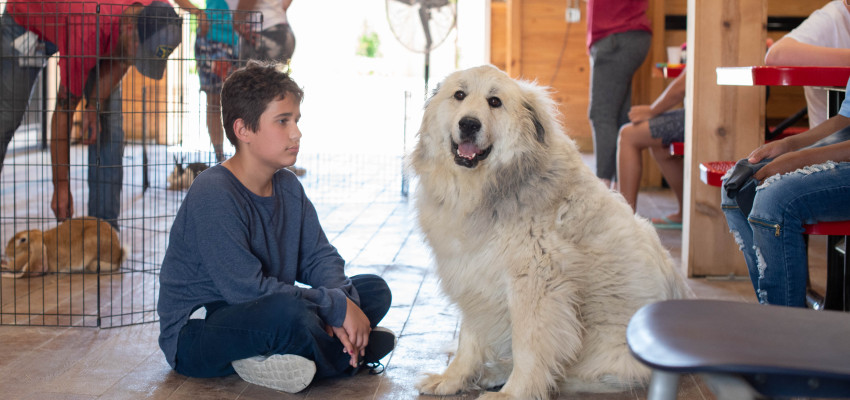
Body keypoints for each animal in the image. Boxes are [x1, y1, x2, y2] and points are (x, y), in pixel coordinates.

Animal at [410, 66, 684, 400]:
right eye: (459, 95)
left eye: (494, 102)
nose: (469, 124)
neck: (487, 188)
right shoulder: (474, 273)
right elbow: (470, 337)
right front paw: (453, 379)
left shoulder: (537, 285)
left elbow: (529, 345)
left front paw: (514, 393)